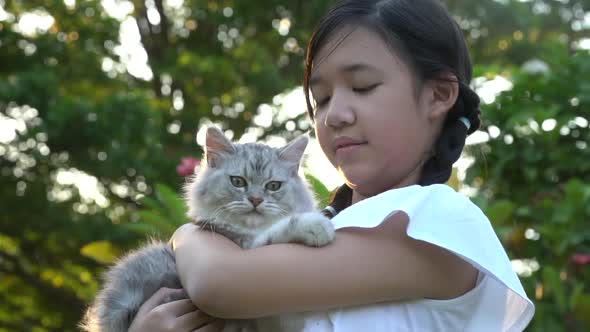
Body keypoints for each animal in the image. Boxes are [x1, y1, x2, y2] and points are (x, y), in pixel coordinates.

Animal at [80, 126, 336, 330]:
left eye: (273, 186)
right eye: (237, 181)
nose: (255, 200)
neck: (247, 231)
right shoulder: (248, 247)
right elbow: (278, 230)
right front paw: (317, 226)